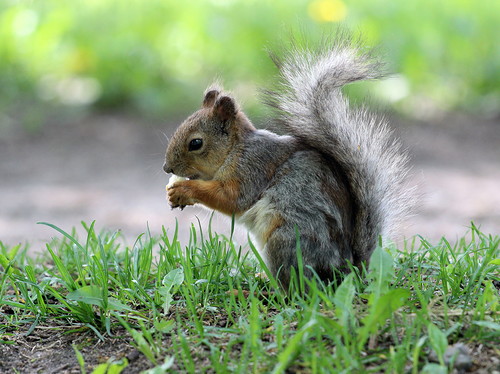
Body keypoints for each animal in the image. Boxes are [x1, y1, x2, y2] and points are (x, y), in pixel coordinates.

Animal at [162, 32, 412, 290]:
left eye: (196, 143)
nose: (167, 168)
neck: (235, 150)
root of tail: (346, 271)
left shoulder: (253, 168)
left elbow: (232, 199)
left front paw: (184, 189)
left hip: (286, 240)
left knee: (294, 288)